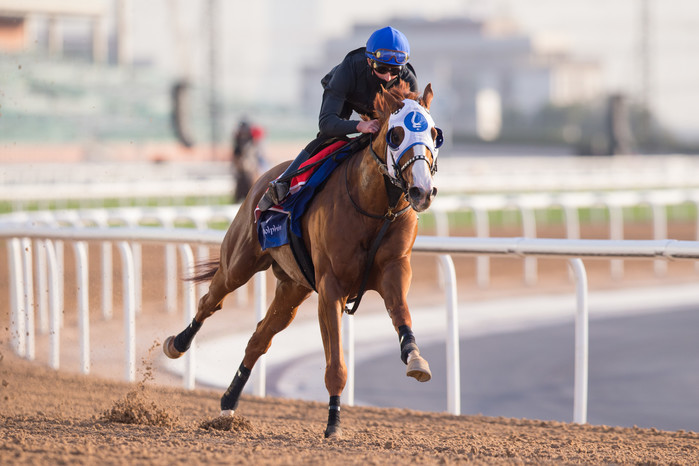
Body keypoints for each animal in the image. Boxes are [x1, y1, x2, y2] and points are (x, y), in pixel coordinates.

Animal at [163, 81, 443, 438]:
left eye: (434, 133)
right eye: (396, 134)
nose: (422, 190)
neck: (374, 205)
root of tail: (263, 177)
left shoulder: (395, 269)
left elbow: (402, 315)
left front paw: (416, 359)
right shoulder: (331, 287)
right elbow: (335, 363)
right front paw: (333, 422)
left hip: (293, 289)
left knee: (259, 338)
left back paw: (228, 401)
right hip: (240, 262)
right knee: (212, 299)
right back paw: (178, 343)